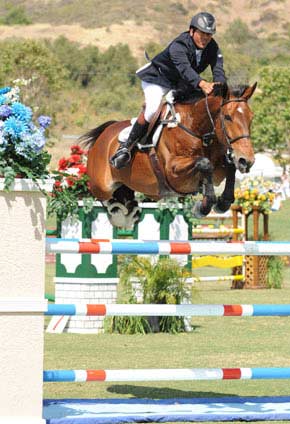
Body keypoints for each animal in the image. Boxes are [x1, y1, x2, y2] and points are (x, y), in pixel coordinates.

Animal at [81, 83, 256, 229]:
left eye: (251, 117)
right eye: (227, 117)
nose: (247, 160)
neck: (197, 129)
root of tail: (104, 134)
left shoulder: (219, 170)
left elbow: (230, 167)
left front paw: (222, 202)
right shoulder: (173, 172)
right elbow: (205, 163)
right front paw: (202, 207)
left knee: (126, 199)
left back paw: (128, 213)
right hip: (101, 185)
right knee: (101, 197)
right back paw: (117, 211)